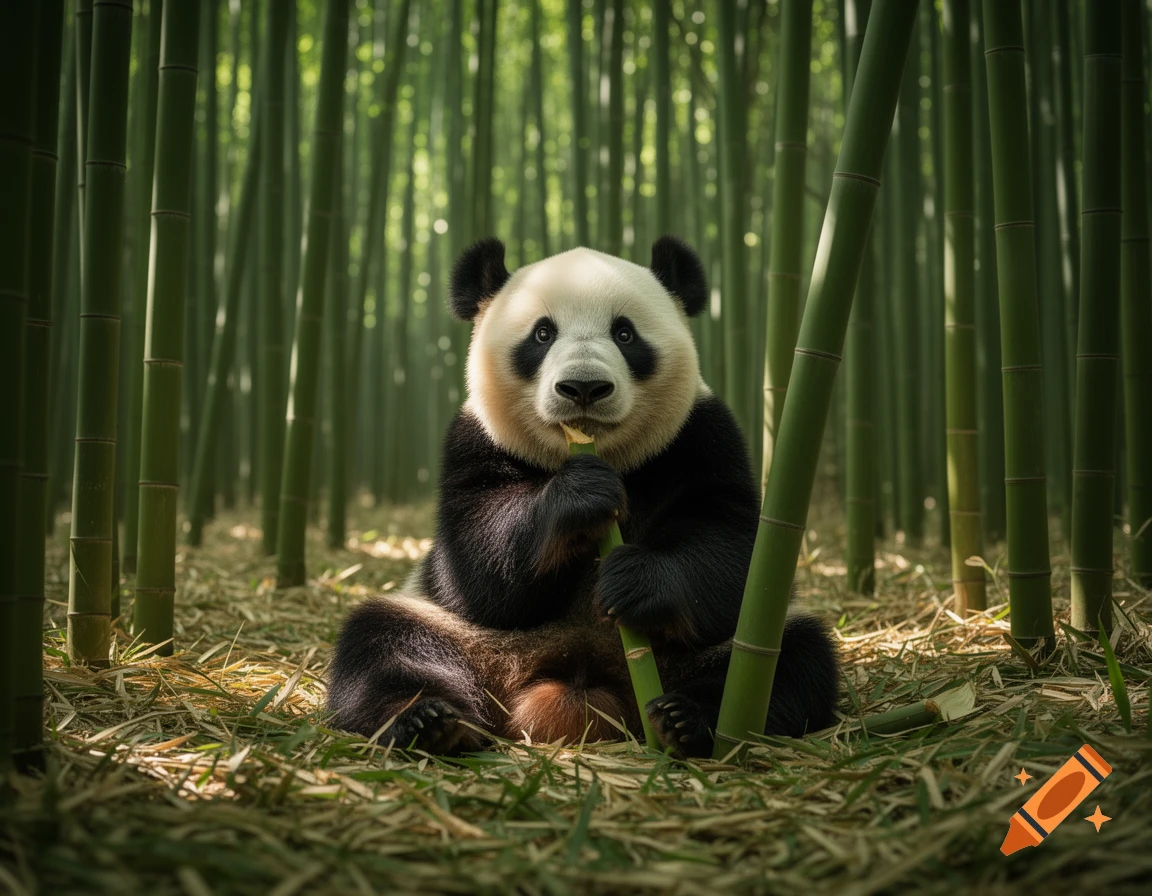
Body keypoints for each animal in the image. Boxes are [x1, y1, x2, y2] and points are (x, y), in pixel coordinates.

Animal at [328, 235, 840, 757]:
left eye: (625, 334)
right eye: (542, 334)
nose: (584, 387)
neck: (599, 453)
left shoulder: (704, 437)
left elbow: (730, 548)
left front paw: (634, 578)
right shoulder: (472, 443)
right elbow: (476, 566)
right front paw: (581, 495)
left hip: (722, 649)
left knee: (792, 659)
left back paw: (685, 718)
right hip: (458, 633)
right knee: (382, 643)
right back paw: (429, 720)